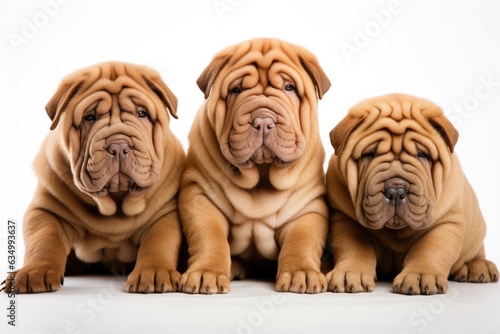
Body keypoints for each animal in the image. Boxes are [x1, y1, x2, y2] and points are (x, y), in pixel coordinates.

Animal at [2, 61, 187, 294]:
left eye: (142, 113)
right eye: (89, 117)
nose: (119, 146)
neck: (114, 205)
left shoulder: (165, 214)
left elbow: (159, 242)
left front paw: (153, 272)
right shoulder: (47, 211)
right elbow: (43, 241)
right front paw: (33, 272)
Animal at [180, 37, 332, 294]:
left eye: (289, 87)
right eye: (236, 90)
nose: (262, 121)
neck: (261, 175)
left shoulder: (308, 207)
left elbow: (302, 241)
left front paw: (301, 273)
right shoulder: (200, 198)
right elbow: (209, 237)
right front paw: (206, 273)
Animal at [326, 92, 498, 294]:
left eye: (422, 155)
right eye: (369, 154)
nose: (395, 191)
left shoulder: (447, 222)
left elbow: (429, 249)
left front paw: (420, 275)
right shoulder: (345, 219)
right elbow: (355, 247)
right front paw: (349, 272)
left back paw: (477, 266)